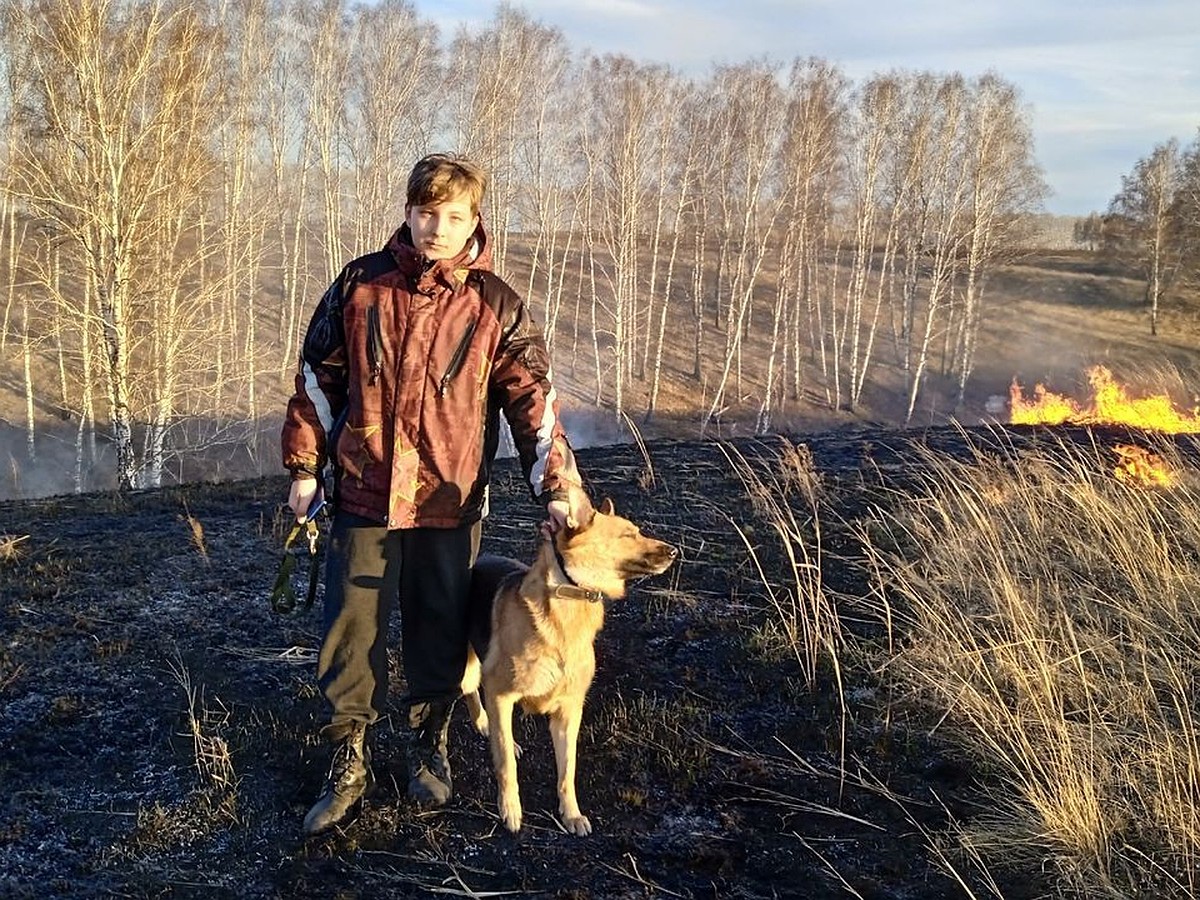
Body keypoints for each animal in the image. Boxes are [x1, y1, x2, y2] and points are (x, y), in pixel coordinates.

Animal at [458, 487, 676, 840]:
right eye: (628, 534)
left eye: (637, 531)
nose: (674, 552)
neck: (568, 598)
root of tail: (480, 559)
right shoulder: (502, 695)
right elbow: (506, 764)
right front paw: (511, 810)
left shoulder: (569, 712)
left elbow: (567, 769)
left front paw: (571, 813)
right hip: (469, 673)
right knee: (472, 694)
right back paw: (485, 725)